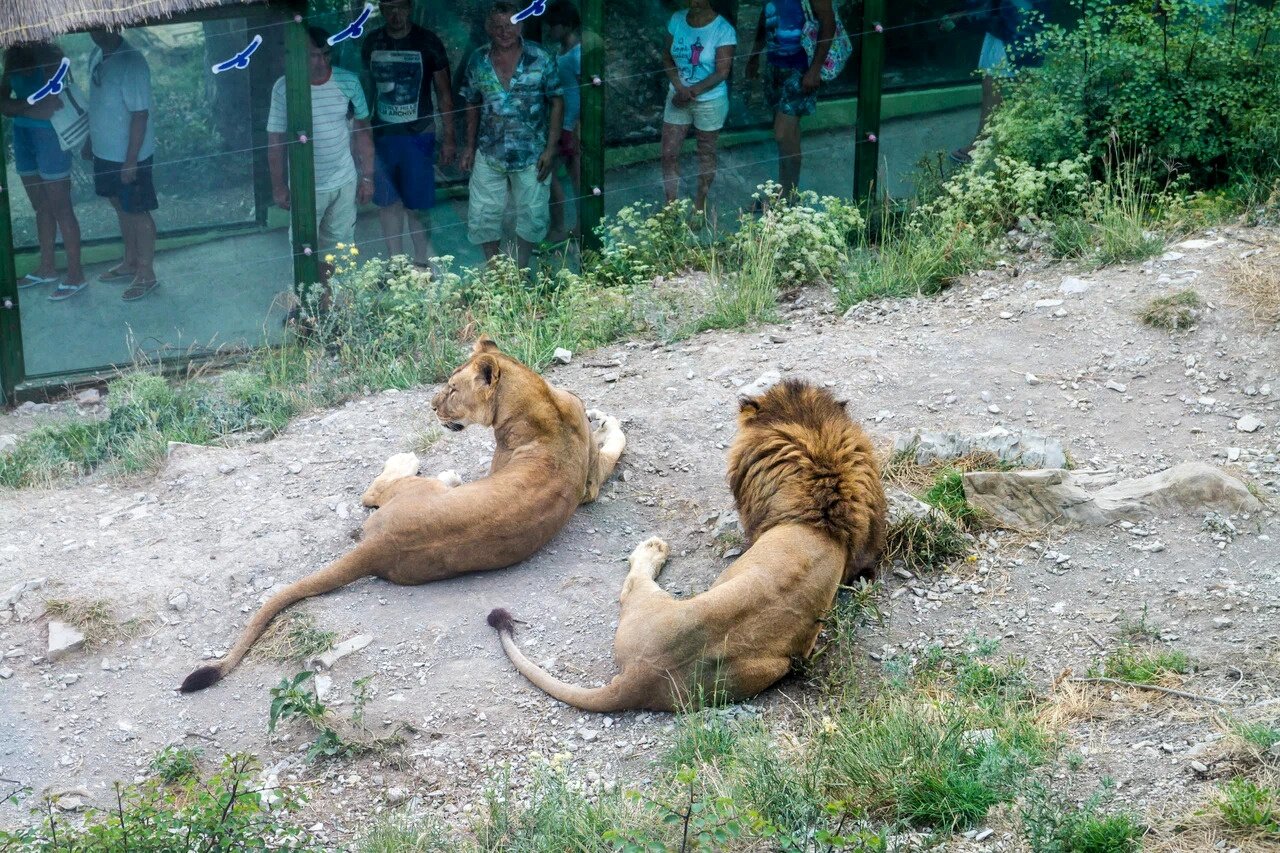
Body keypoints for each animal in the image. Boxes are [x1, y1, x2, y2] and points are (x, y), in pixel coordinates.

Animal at [180, 335, 624, 686]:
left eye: (451, 390)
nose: (431, 405)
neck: (539, 396)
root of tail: (378, 547)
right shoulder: (588, 484)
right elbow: (615, 445)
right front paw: (606, 421)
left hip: (418, 489)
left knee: (374, 491)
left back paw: (415, 462)